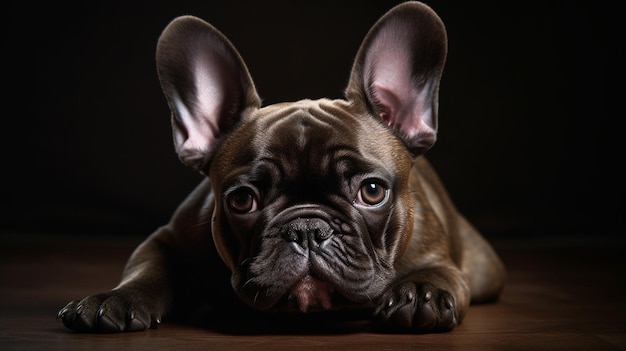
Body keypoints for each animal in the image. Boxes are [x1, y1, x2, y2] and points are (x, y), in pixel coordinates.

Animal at [57, 1, 502, 334]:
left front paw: (421, 293)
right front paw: (115, 298)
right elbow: (148, 267)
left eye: (372, 191)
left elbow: (441, 272)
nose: (306, 229)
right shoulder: (168, 239)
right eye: (242, 200)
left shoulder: (435, 253)